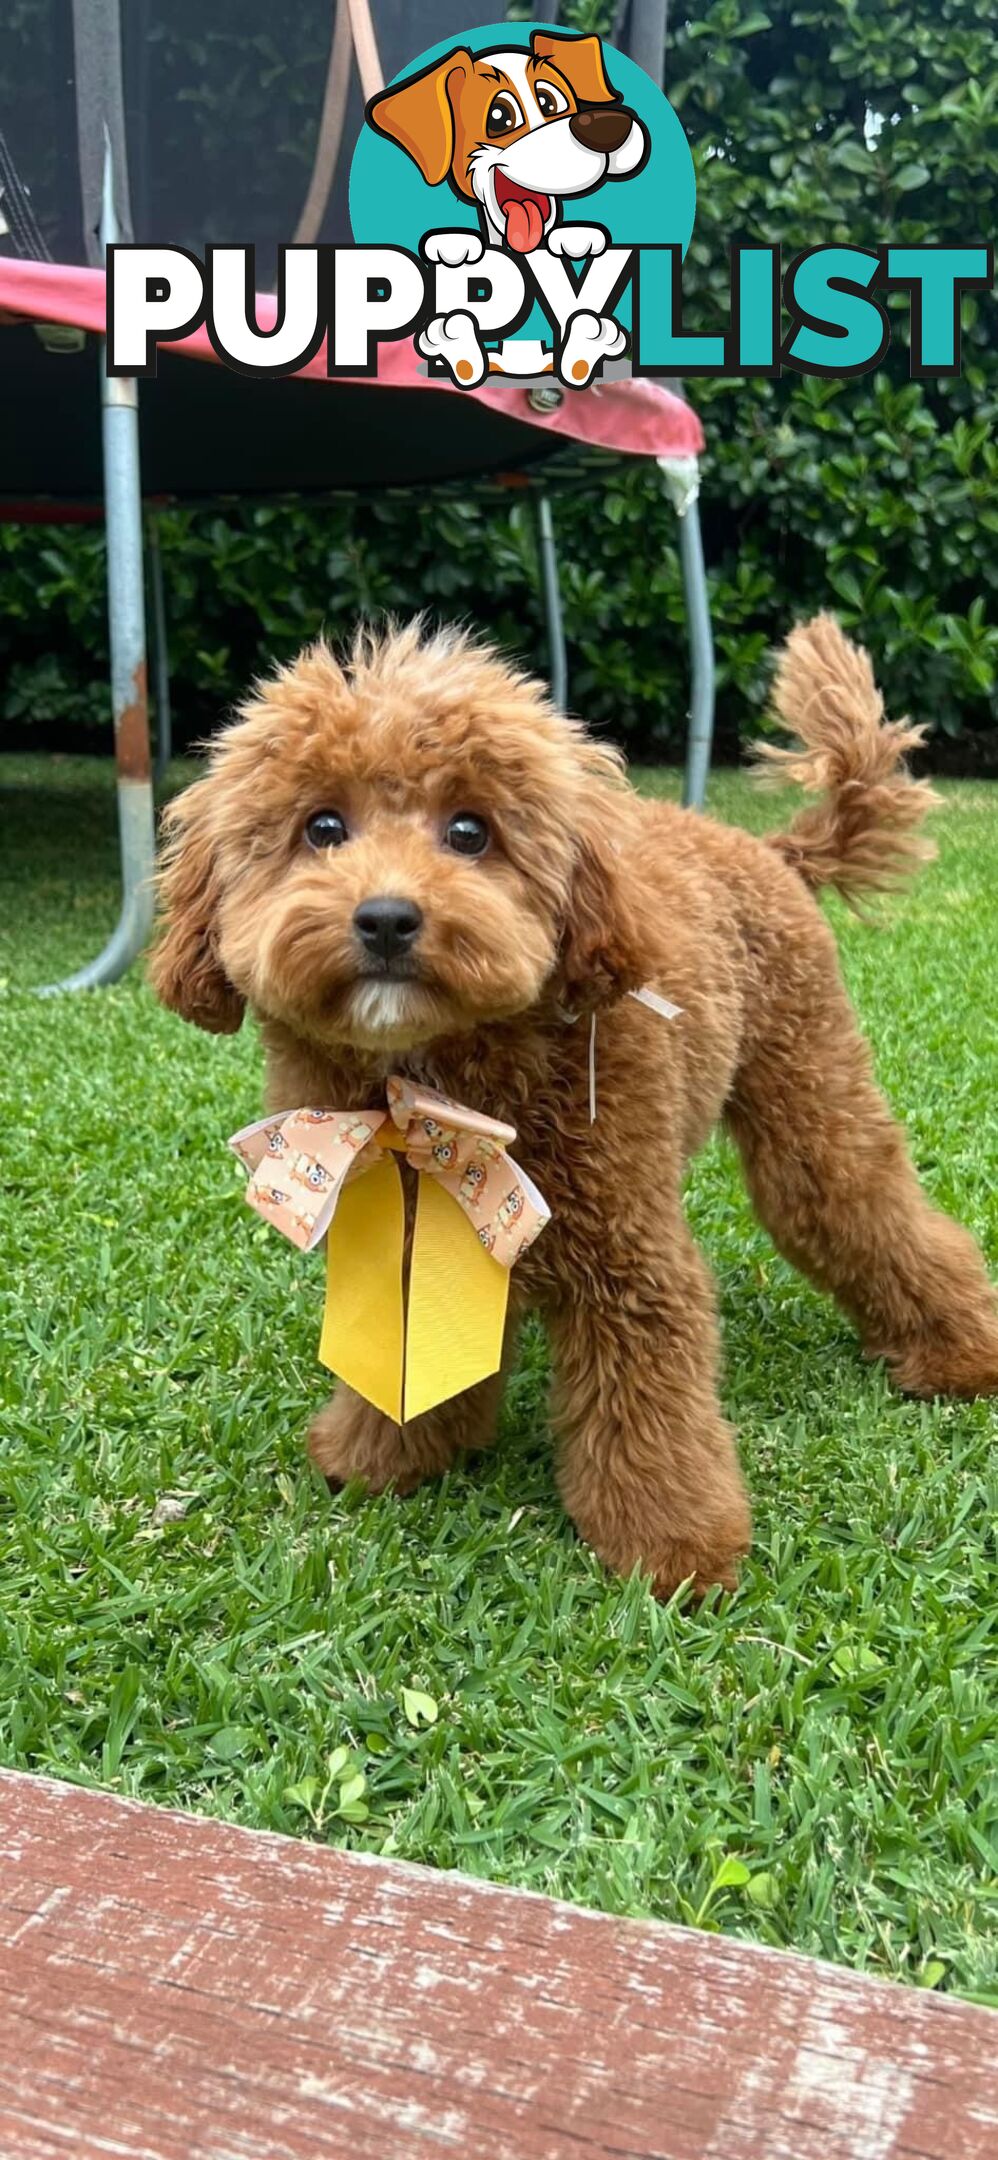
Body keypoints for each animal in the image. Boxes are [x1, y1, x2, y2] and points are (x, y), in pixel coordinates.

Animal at [147, 617, 998, 1598]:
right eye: (321, 827)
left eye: (470, 831)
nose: (388, 918)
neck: (428, 1096)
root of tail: (773, 848)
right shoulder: (396, 1231)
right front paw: (379, 1455)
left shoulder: (630, 1256)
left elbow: (649, 1406)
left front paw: (674, 1551)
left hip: (809, 1096)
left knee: (862, 1205)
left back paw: (961, 1352)